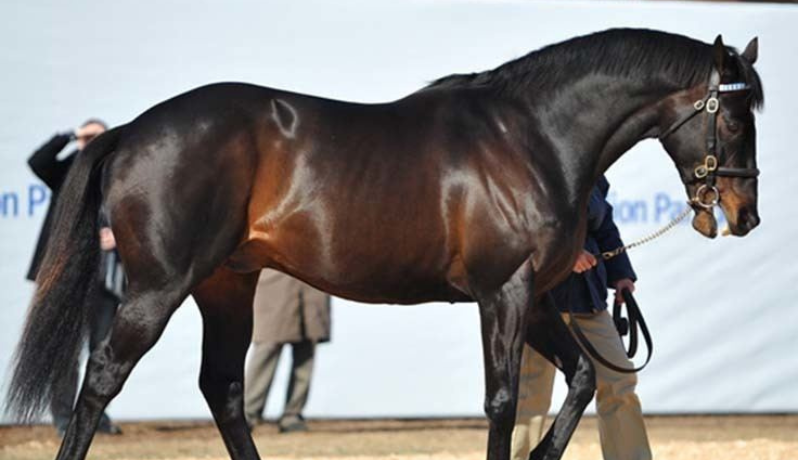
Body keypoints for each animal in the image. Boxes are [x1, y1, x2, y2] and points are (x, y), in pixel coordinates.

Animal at [7, 28, 768, 460]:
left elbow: (581, 381)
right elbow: (501, 401)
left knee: (220, 386)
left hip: (227, 284)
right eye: (734, 117)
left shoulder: (539, 298)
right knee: (102, 379)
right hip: (159, 288)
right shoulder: (505, 292)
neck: (531, 135)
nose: (745, 214)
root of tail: (132, 129)